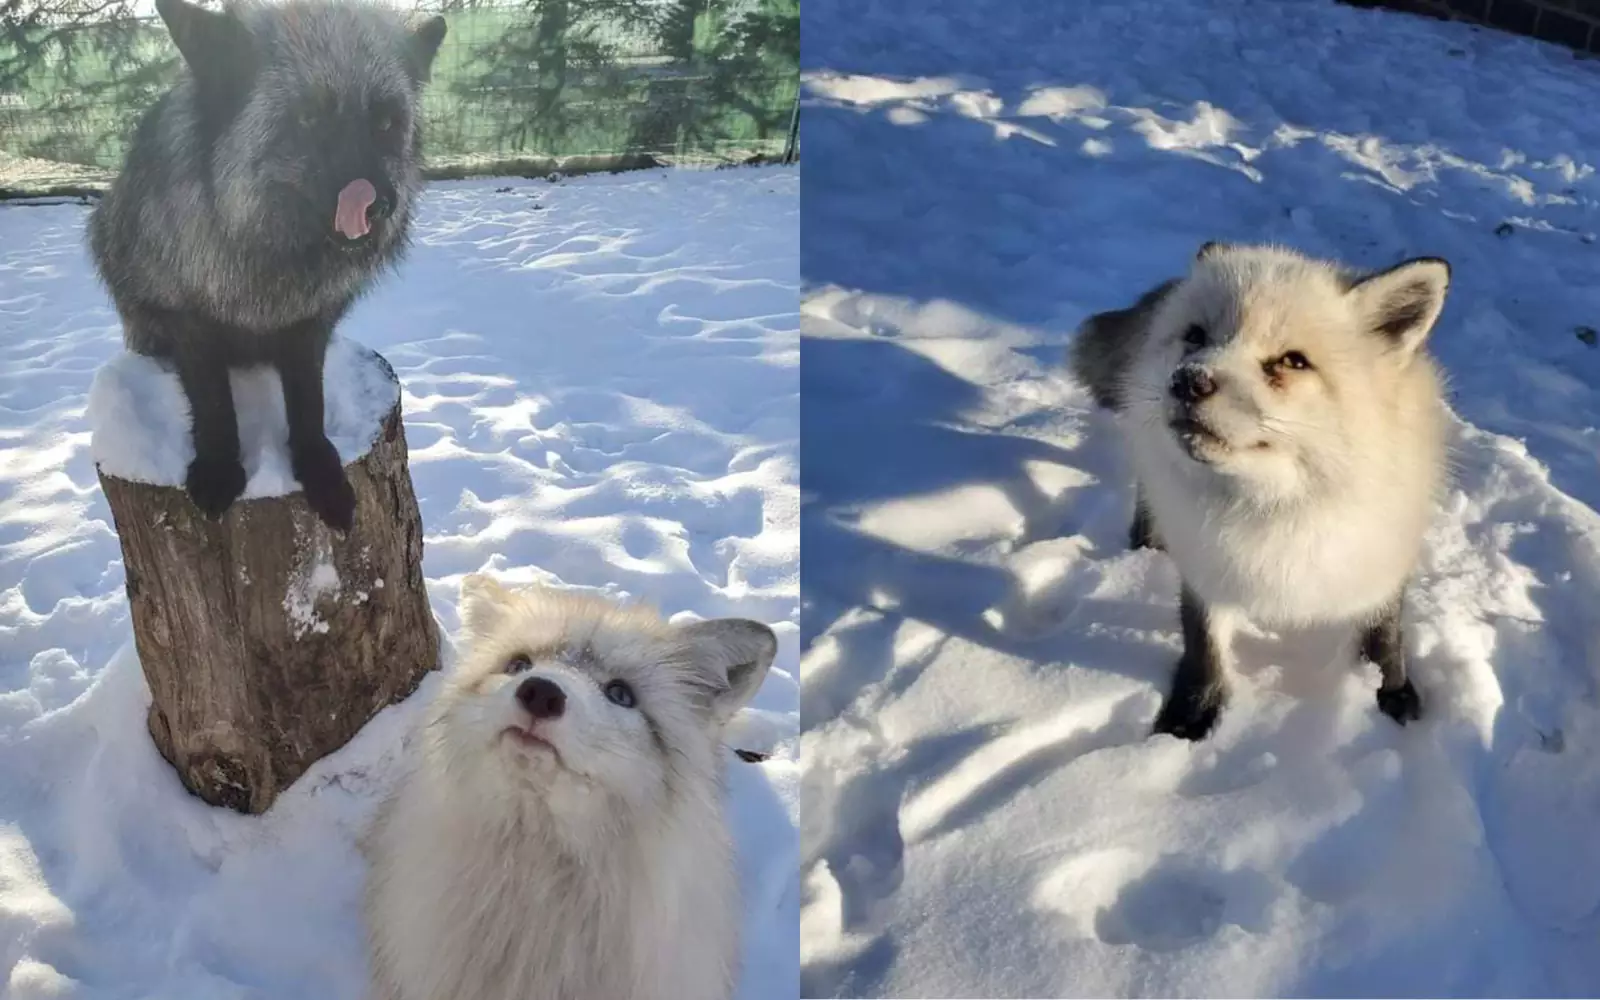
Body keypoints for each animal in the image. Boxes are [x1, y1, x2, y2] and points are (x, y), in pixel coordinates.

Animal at [88, 0, 446, 530]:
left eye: (384, 123)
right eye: (310, 117)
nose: (379, 205)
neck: (267, 261)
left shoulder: (309, 324)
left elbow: (308, 400)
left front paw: (319, 470)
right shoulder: (189, 318)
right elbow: (213, 401)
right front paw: (219, 468)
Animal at [1069, 242, 1451, 741]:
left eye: (1292, 361)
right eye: (1197, 336)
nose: (1188, 381)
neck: (1274, 509)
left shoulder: (1383, 556)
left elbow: (1384, 634)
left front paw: (1390, 691)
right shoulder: (1206, 564)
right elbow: (1204, 647)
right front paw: (1191, 716)